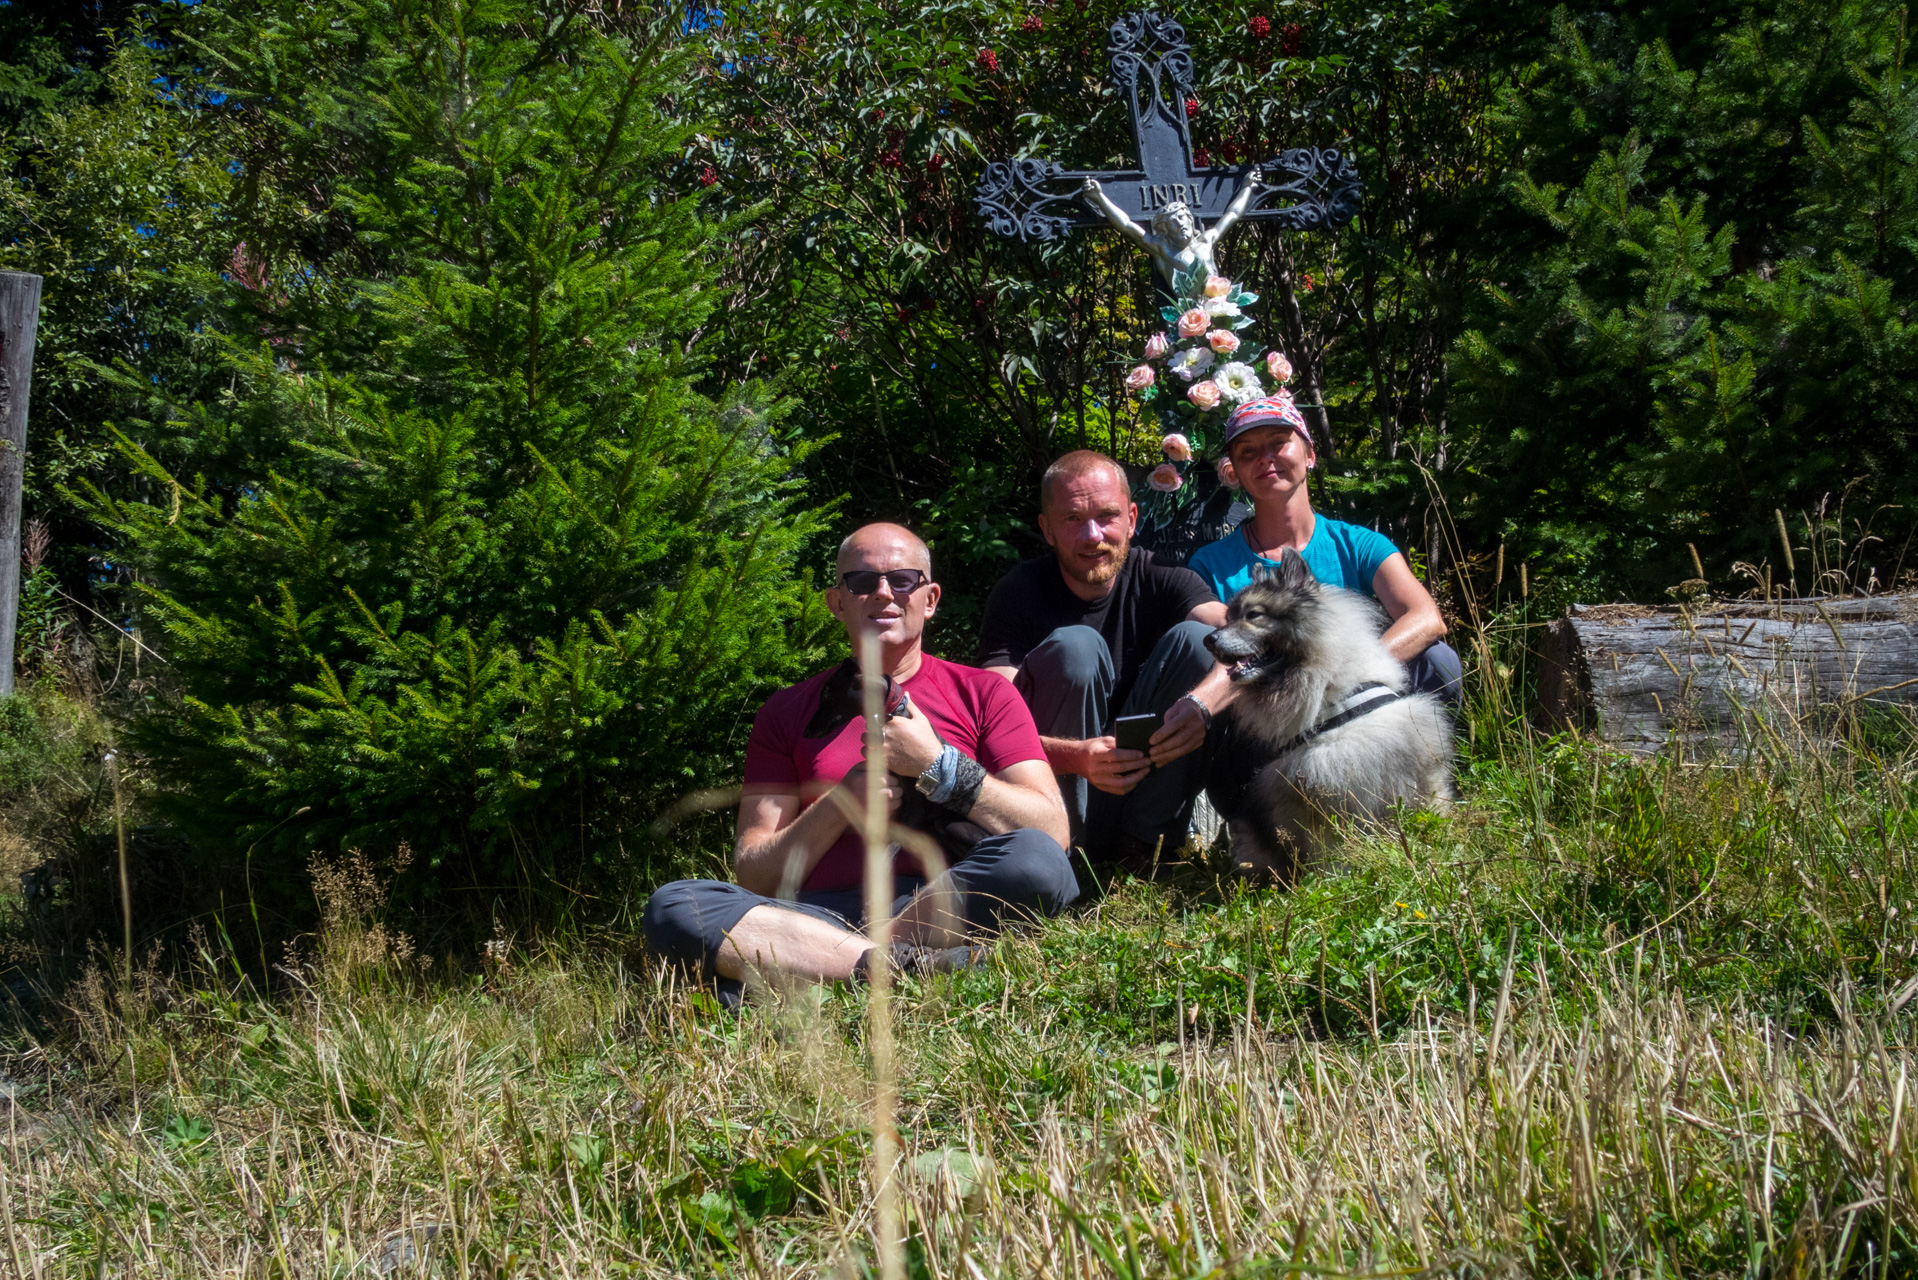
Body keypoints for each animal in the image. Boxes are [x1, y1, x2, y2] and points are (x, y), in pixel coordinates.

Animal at [1196, 552, 1450, 882]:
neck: (1331, 694)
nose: (1209, 640)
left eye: (1253, 615)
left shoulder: (1416, 765)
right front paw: (1335, 877)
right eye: (1228, 618)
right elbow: (1327, 847)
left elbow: (1431, 806)